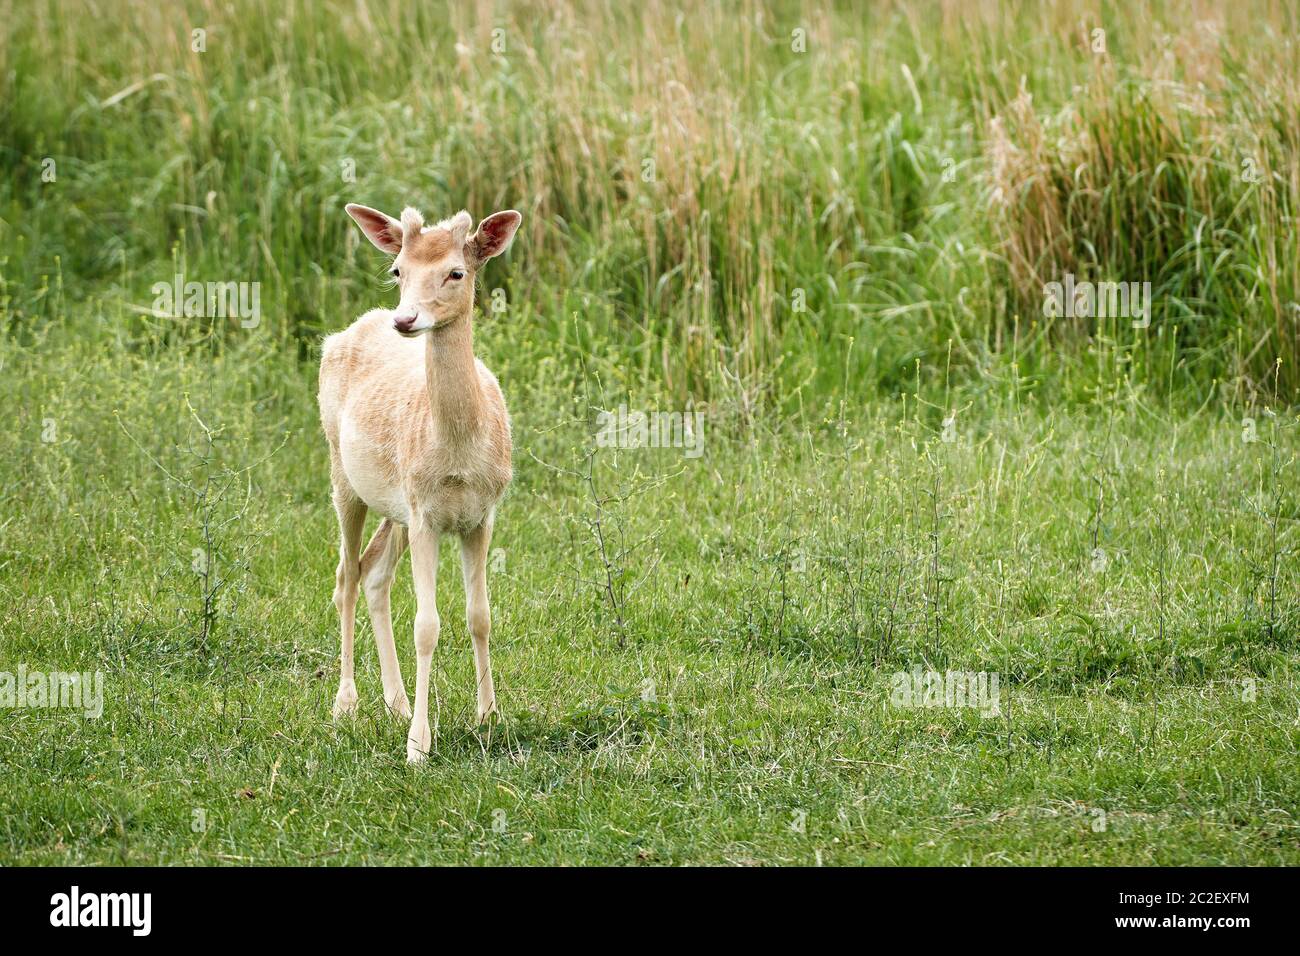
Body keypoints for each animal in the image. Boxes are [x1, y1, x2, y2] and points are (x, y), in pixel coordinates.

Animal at [317, 200, 520, 764]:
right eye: (397, 270)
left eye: (456, 272)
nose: (404, 319)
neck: (458, 453)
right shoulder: (428, 516)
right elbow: (426, 627)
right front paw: (419, 747)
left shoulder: (480, 514)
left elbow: (480, 615)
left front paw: (489, 718)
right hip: (342, 472)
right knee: (345, 576)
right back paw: (346, 703)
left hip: (397, 506)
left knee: (373, 572)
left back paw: (397, 702)